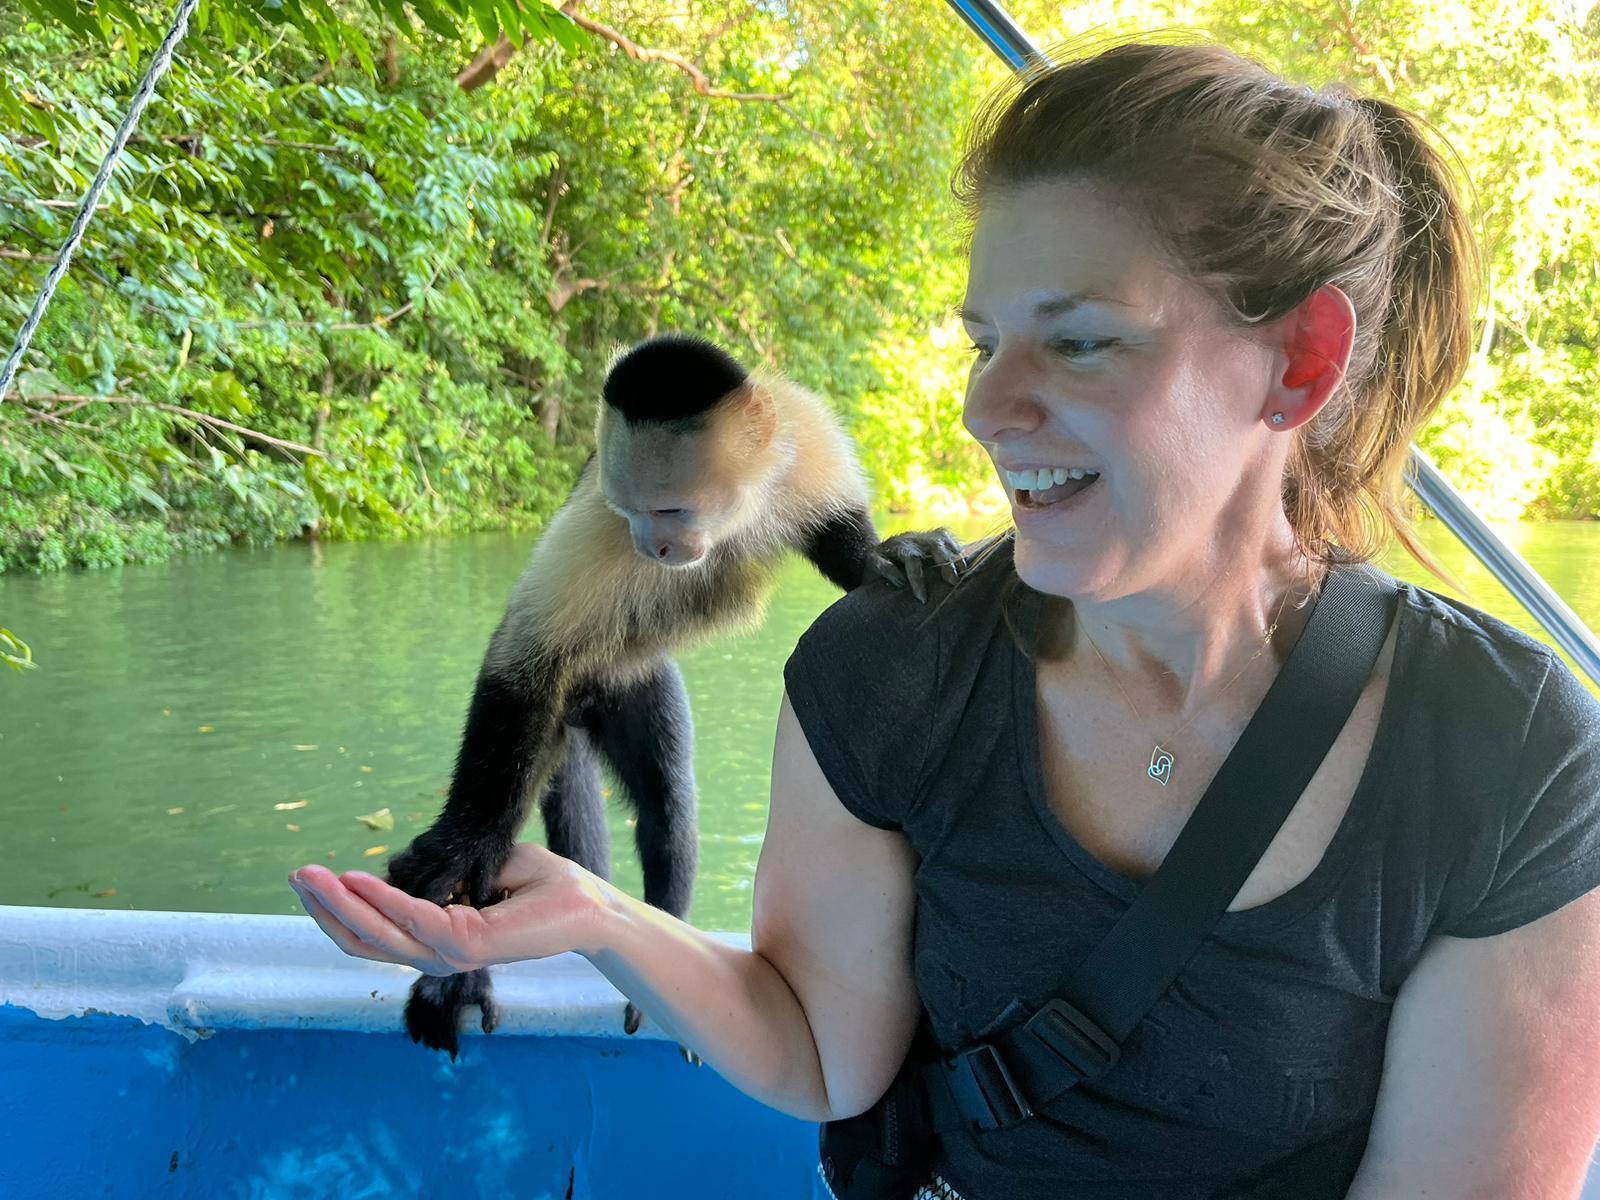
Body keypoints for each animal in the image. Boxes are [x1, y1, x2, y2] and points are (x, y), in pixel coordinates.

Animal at [385, 334, 961, 1057]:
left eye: (670, 510)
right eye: (635, 510)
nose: (650, 545)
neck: (731, 517)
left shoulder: (801, 441)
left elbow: (837, 536)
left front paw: (884, 555)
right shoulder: (598, 524)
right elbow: (521, 666)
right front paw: (467, 842)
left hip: (637, 683)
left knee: (669, 810)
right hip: (578, 698)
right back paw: (463, 970)